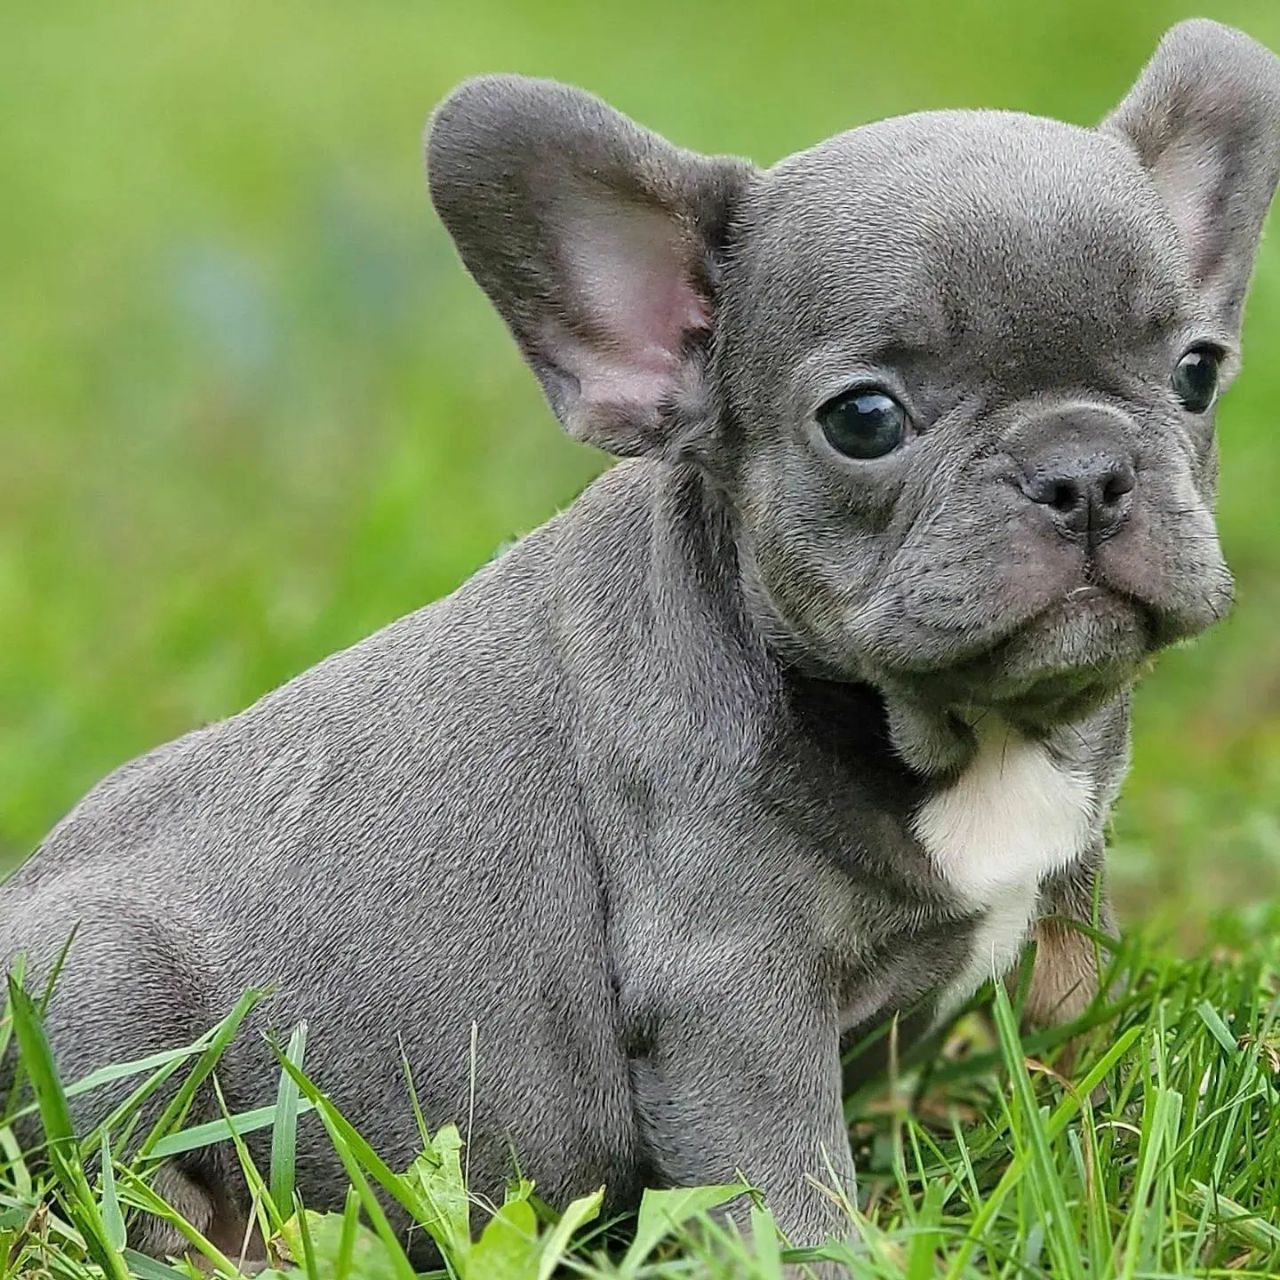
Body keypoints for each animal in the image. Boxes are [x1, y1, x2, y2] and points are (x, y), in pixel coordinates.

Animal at [3, 19, 1278, 1272]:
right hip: (103, 992)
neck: (955, 733)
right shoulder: (731, 993)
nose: (1082, 470)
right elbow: (784, 1184)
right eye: (863, 419)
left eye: (1195, 372)